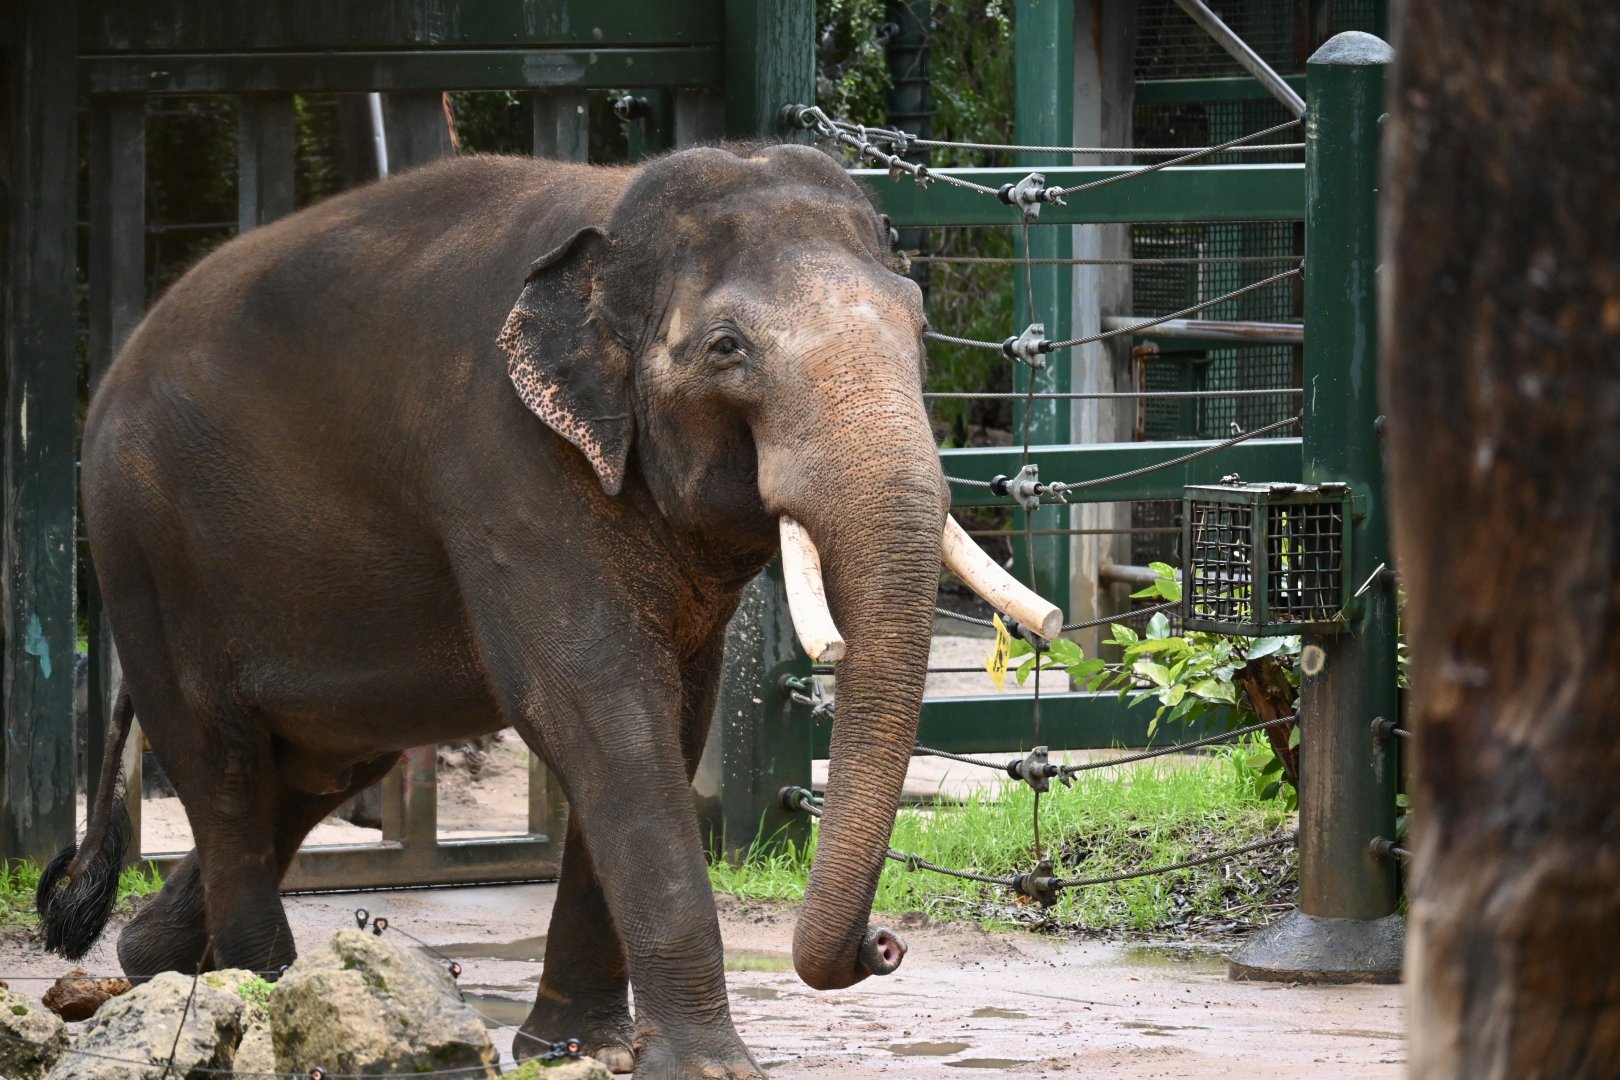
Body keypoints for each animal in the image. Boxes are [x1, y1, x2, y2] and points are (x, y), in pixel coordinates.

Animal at [40, 142, 1056, 1078]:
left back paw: (155, 960)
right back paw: (268, 989)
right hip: (144, 549)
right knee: (224, 764)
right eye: (728, 348)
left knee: (315, 768)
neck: (614, 224)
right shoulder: (506, 463)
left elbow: (675, 719)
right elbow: (600, 708)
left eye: (919, 322)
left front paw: (573, 1049)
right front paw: (708, 1068)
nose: (883, 944)